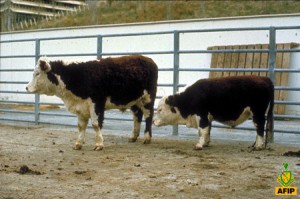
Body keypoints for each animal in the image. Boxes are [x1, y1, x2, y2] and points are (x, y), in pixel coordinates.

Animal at [26, 55, 158, 150]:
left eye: (37, 73)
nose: (26, 87)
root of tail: (148, 59)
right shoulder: (81, 106)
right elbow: (81, 126)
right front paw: (78, 143)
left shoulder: (97, 103)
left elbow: (95, 124)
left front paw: (99, 144)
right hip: (135, 100)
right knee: (137, 115)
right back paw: (133, 136)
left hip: (148, 98)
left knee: (148, 116)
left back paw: (147, 138)